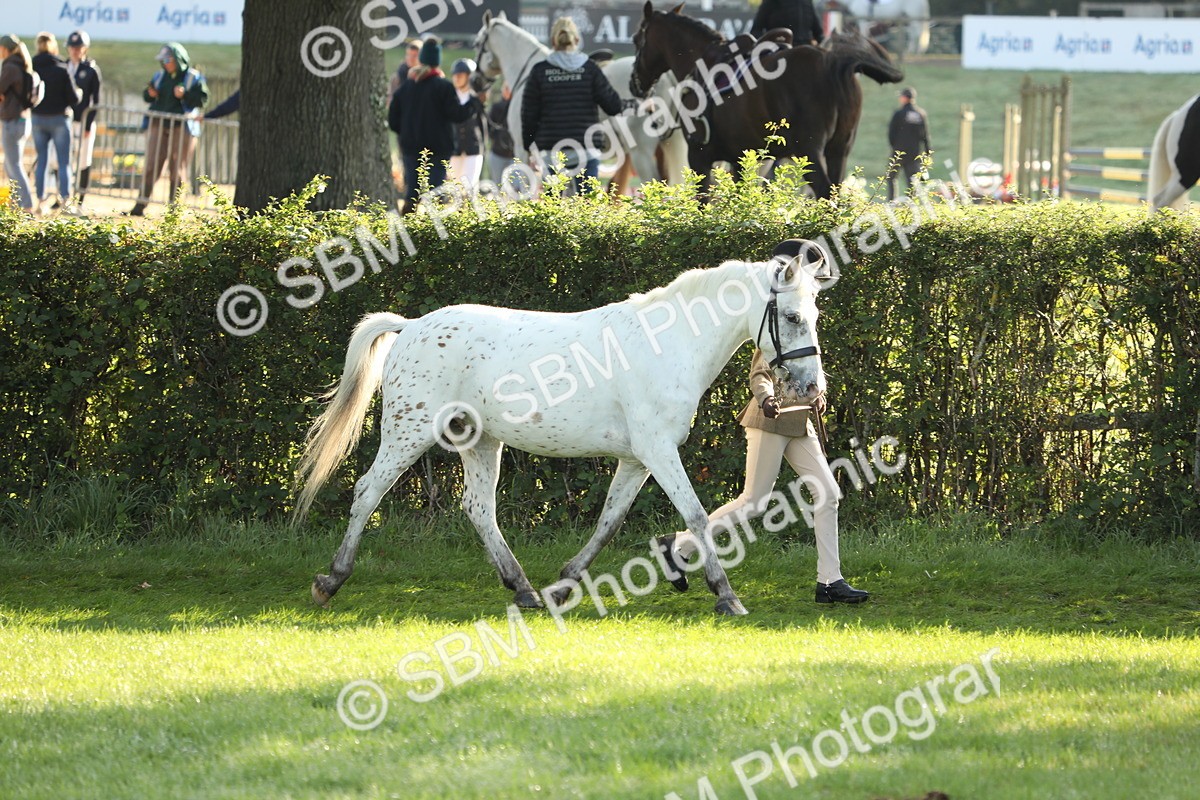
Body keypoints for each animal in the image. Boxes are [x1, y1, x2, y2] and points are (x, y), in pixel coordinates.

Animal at [295, 250, 836, 617]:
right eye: (792, 317)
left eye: (814, 315)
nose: (813, 390)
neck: (667, 342)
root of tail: (410, 327)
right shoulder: (659, 452)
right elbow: (698, 518)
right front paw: (726, 596)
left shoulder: (636, 459)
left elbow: (609, 521)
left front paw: (564, 585)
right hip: (408, 432)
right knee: (367, 492)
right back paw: (331, 580)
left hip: (479, 441)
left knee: (478, 509)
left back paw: (525, 590)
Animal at [631, 2, 903, 199]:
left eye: (636, 39)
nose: (635, 83)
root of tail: (830, 62)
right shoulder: (740, 160)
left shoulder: (699, 156)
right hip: (839, 150)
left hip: (809, 151)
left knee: (824, 191)